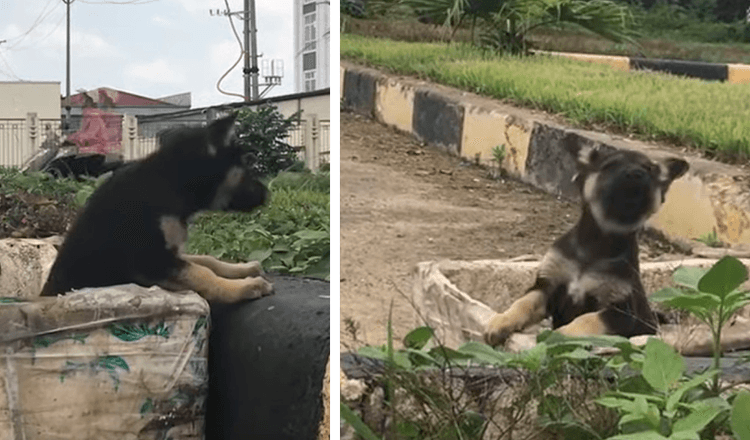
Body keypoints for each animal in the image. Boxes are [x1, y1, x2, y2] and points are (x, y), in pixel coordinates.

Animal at [484, 138, 692, 348]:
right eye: (611, 165)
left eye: (650, 169)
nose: (637, 174)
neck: (598, 243)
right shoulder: (545, 288)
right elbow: (523, 303)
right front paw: (501, 320)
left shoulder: (621, 313)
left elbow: (588, 319)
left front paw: (561, 335)